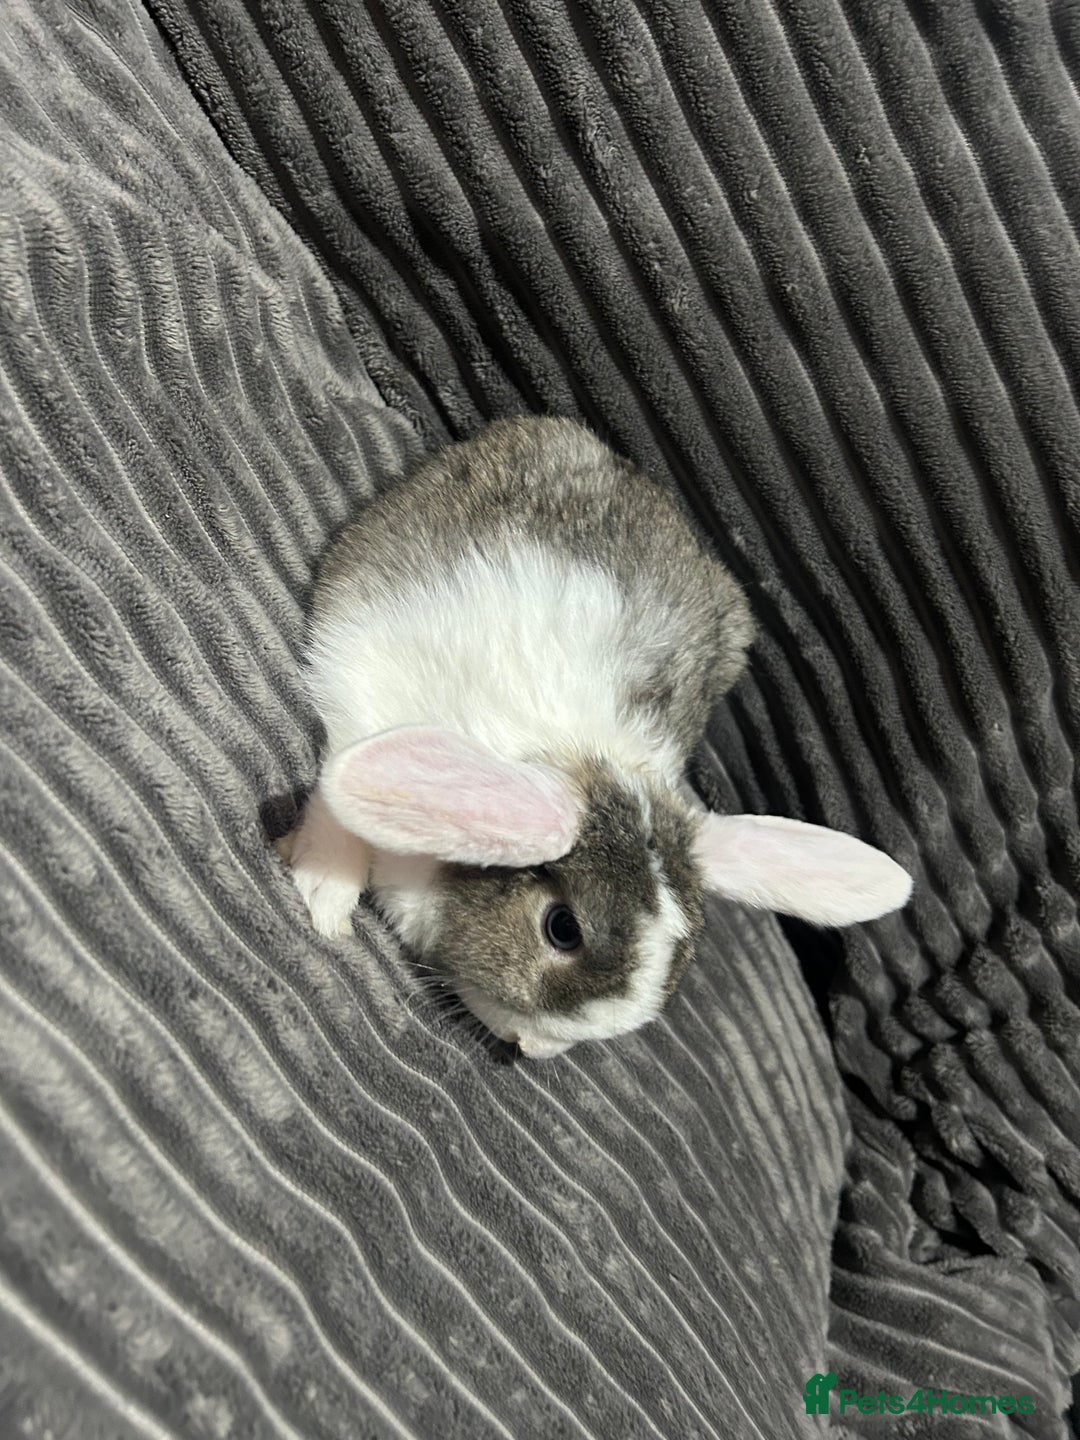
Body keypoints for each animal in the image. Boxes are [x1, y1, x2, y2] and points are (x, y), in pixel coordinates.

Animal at [281, 415, 912, 1059]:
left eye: (680, 958)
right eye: (562, 928)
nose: (533, 1046)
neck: (580, 758)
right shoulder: (365, 695)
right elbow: (337, 794)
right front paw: (325, 897)